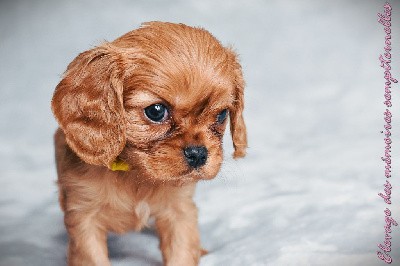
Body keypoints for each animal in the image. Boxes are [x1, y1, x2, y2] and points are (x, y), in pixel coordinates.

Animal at [51, 21, 245, 266]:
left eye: (221, 115)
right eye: (156, 111)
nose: (198, 154)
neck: (136, 175)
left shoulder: (180, 212)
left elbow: (182, 251)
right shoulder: (84, 217)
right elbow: (92, 257)